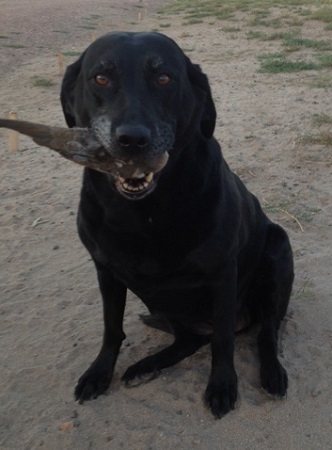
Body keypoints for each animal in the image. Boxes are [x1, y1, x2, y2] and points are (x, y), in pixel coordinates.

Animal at [59, 31, 294, 418]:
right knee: (189, 340)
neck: (145, 213)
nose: (132, 139)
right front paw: (99, 373)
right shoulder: (105, 272)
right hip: (161, 301)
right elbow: (111, 328)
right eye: (101, 78)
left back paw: (273, 372)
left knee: (265, 332)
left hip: (278, 252)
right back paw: (146, 366)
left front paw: (222, 385)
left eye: (164, 78)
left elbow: (223, 341)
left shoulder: (222, 275)